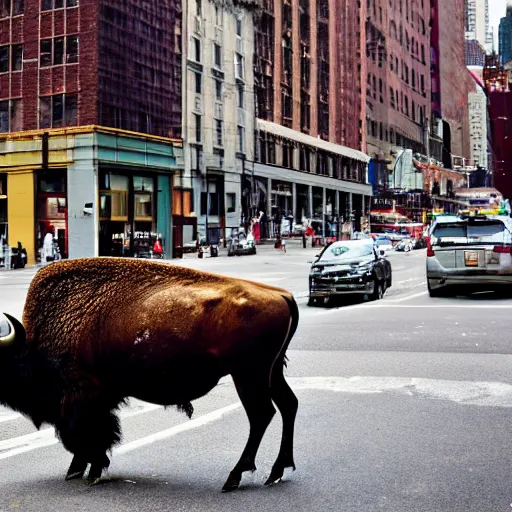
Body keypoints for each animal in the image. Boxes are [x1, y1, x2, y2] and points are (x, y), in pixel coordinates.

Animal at [0, 258, 300, 490]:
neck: (32, 344)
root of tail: (282, 295)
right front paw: (77, 471)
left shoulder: (83, 397)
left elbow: (89, 433)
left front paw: (91, 471)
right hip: (271, 373)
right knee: (288, 405)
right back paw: (277, 472)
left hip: (248, 375)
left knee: (261, 415)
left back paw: (235, 477)